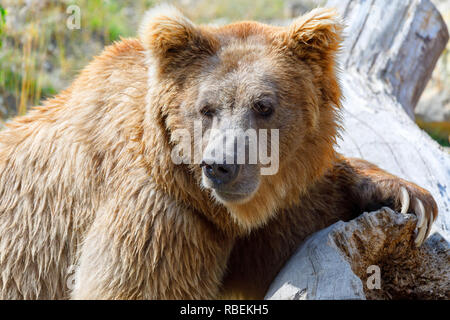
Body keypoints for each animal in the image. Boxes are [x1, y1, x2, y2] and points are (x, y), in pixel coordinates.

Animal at [0, 5, 440, 300]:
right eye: (206, 108)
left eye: (263, 105)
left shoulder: (259, 217)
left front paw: (408, 197)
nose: (220, 167)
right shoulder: (161, 218)